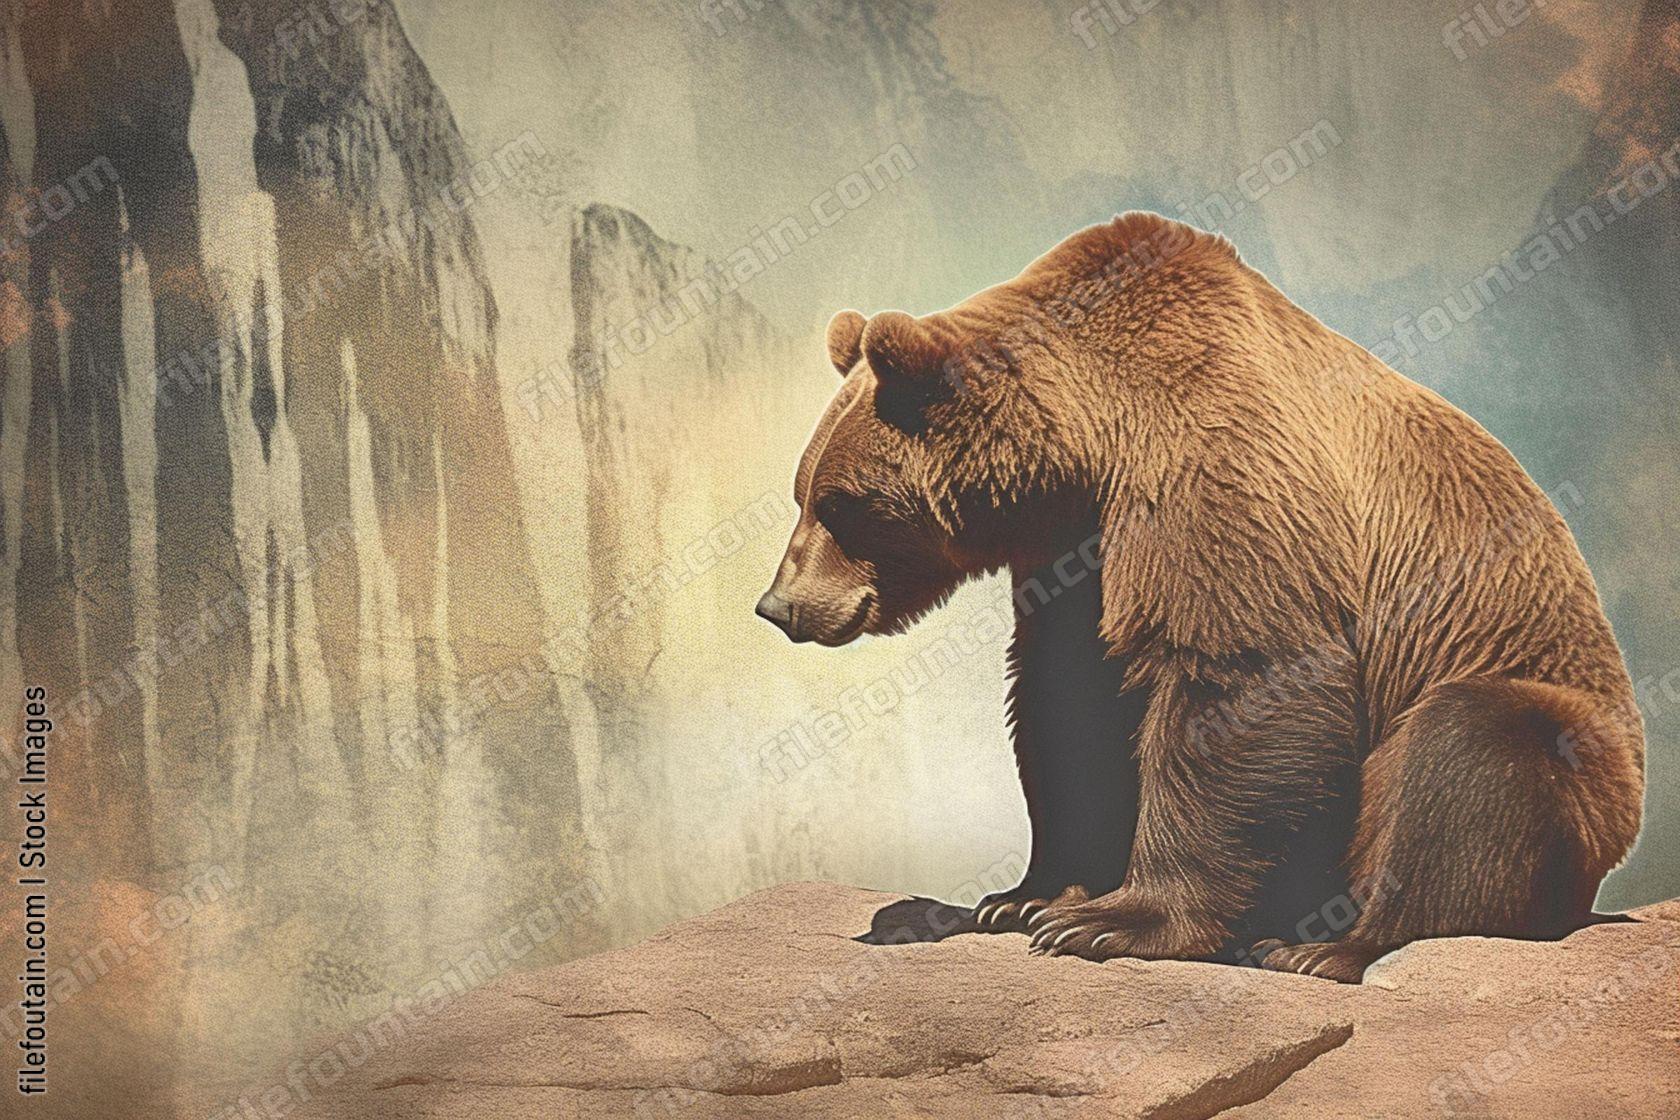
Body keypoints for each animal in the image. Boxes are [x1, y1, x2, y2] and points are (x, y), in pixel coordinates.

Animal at [756, 212, 1645, 982]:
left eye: (841, 504)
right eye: (802, 492)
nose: (779, 606)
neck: (1088, 450)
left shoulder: (1209, 469)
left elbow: (1240, 670)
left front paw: (1112, 921)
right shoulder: (1078, 554)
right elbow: (1069, 703)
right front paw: (1023, 898)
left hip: (1565, 728)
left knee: (1470, 749)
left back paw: (1329, 946)